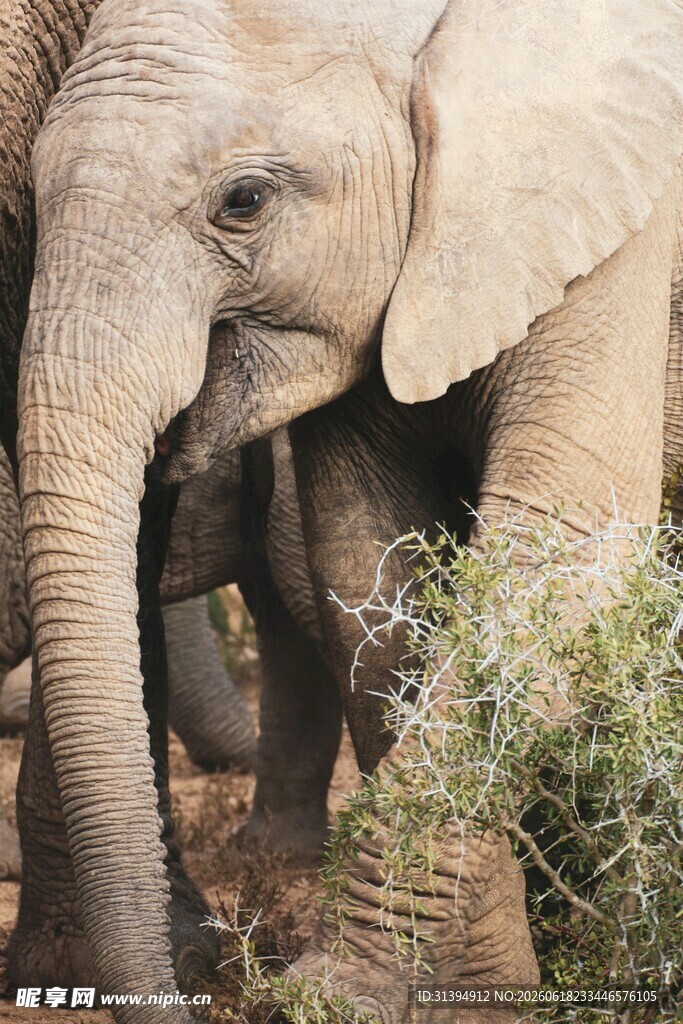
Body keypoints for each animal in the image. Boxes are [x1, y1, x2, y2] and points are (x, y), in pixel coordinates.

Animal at [11, 0, 683, 1021]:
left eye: (243, 201)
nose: (193, 986)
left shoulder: (626, 239)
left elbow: (554, 558)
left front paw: (343, 996)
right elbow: (367, 562)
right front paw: (477, 990)